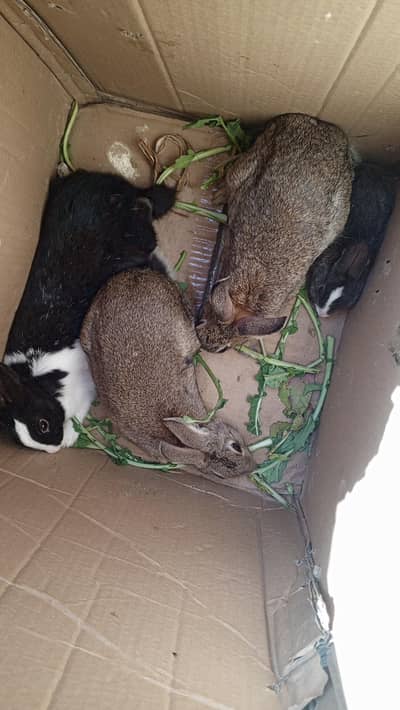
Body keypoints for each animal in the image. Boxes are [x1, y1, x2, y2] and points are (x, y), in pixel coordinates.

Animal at [1, 170, 176, 453]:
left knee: (148, 212)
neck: (41, 378)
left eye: (42, 425)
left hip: (138, 235)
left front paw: (71, 437)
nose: (54, 449)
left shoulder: (84, 389)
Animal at [197, 113, 354, 352]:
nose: (205, 345)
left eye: (225, 348)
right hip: (246, 165)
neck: (246, 297)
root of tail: (322, 126)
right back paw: (220, 195)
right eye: (205, 316)